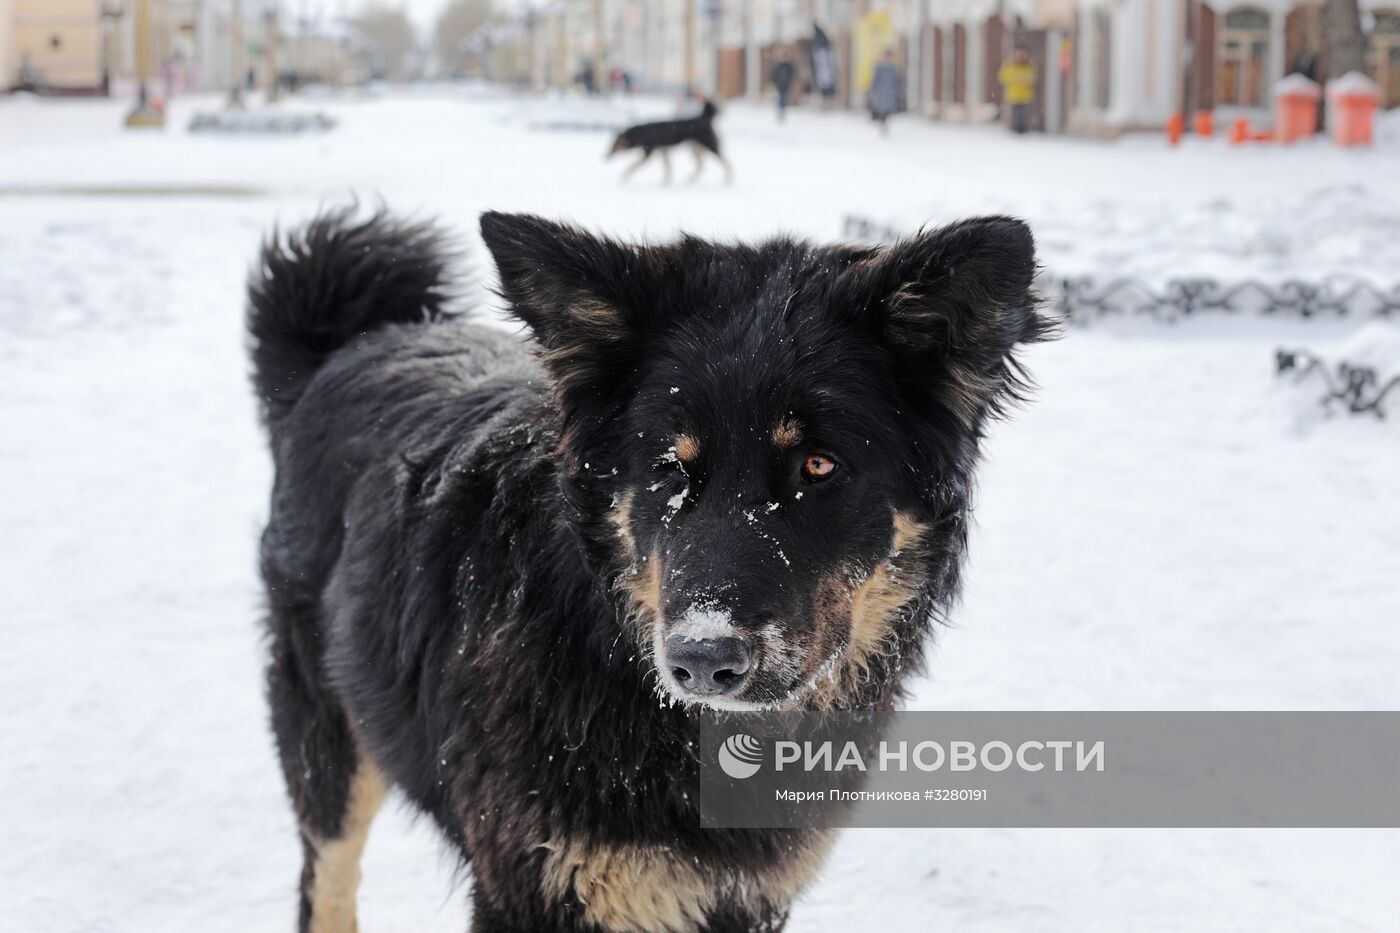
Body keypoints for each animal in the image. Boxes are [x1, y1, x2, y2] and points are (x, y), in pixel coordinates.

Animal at [249, 207, 1052, 924]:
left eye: (819, 465)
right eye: (670, 466)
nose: (703, 659)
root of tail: (355, 344)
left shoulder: (740, 897)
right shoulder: (535, 887)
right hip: (330, 745)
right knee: (326, 887)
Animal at [604, 98, 733, 184]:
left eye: (614, 146)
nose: (605, 156)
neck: (639, 134)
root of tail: (704, 118)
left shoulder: (649, 153)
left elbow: (634, 165)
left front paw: (625, 175)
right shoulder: (663, 152)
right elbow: (667, 168)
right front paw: (666, 181)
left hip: (710, 146)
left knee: (725, 162)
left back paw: (728, 178)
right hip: (695, 149)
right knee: (701, 166)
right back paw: (691, 179)